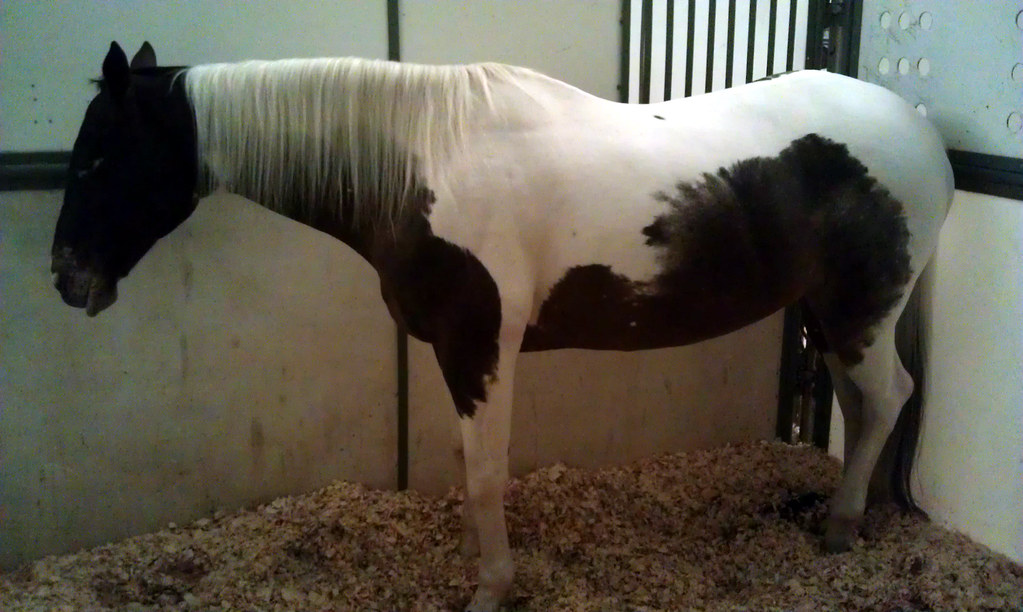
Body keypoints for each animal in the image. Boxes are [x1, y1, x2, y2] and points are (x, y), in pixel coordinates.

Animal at [51, 41, 953, 612]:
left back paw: (839, 529)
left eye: (98, 158)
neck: (421, 163)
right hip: (831, 316)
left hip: (862, 309)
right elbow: (467, 466)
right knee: (862, 405)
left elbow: (485, 472)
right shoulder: (463, 354)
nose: (67, 278)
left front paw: (490, 587)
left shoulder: (479, 346)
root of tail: (921, 132)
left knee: (887, 397)